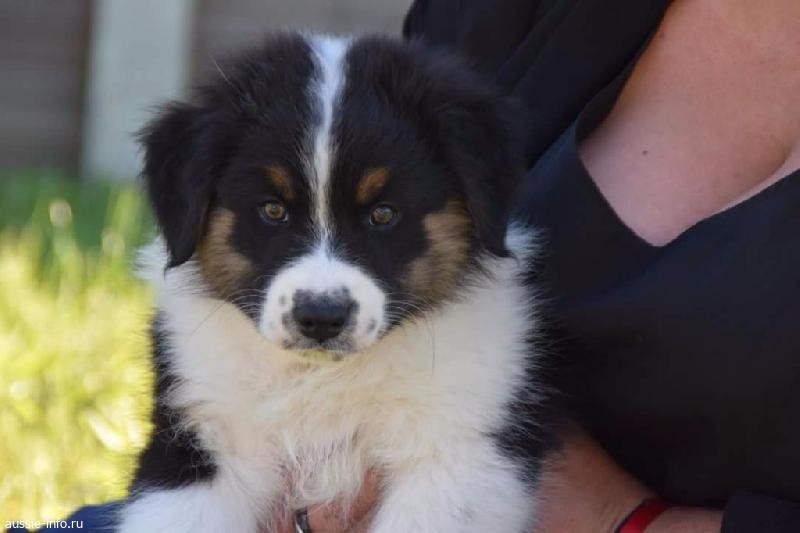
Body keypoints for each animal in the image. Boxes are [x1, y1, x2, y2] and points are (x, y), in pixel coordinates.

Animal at [119, 32, 551, 532]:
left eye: (383, 213)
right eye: (272, 209)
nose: (321, 318)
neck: (323, 379)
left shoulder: (460, 452)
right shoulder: (200, 440)